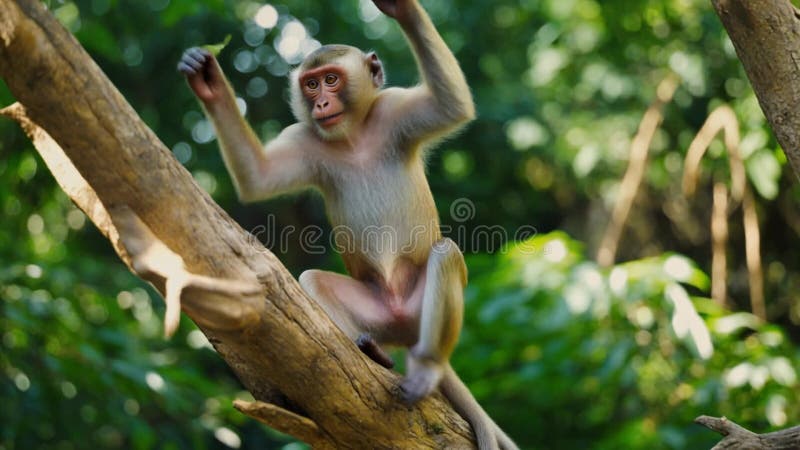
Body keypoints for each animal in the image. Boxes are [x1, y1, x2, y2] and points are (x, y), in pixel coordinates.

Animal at [178, 1, 517, 448]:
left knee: (445, 253)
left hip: (419, 305)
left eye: (331, 79)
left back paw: (427, 366)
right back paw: (371, 354)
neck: (352, 136)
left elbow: (452, 105)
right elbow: (258, 177)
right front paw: (208, 81)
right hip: (375, 313)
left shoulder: (392, 112)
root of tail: (404, 327)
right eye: (310, 85)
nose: (322, 103)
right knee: (314, 282)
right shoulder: (306, 139)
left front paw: (402, 11)